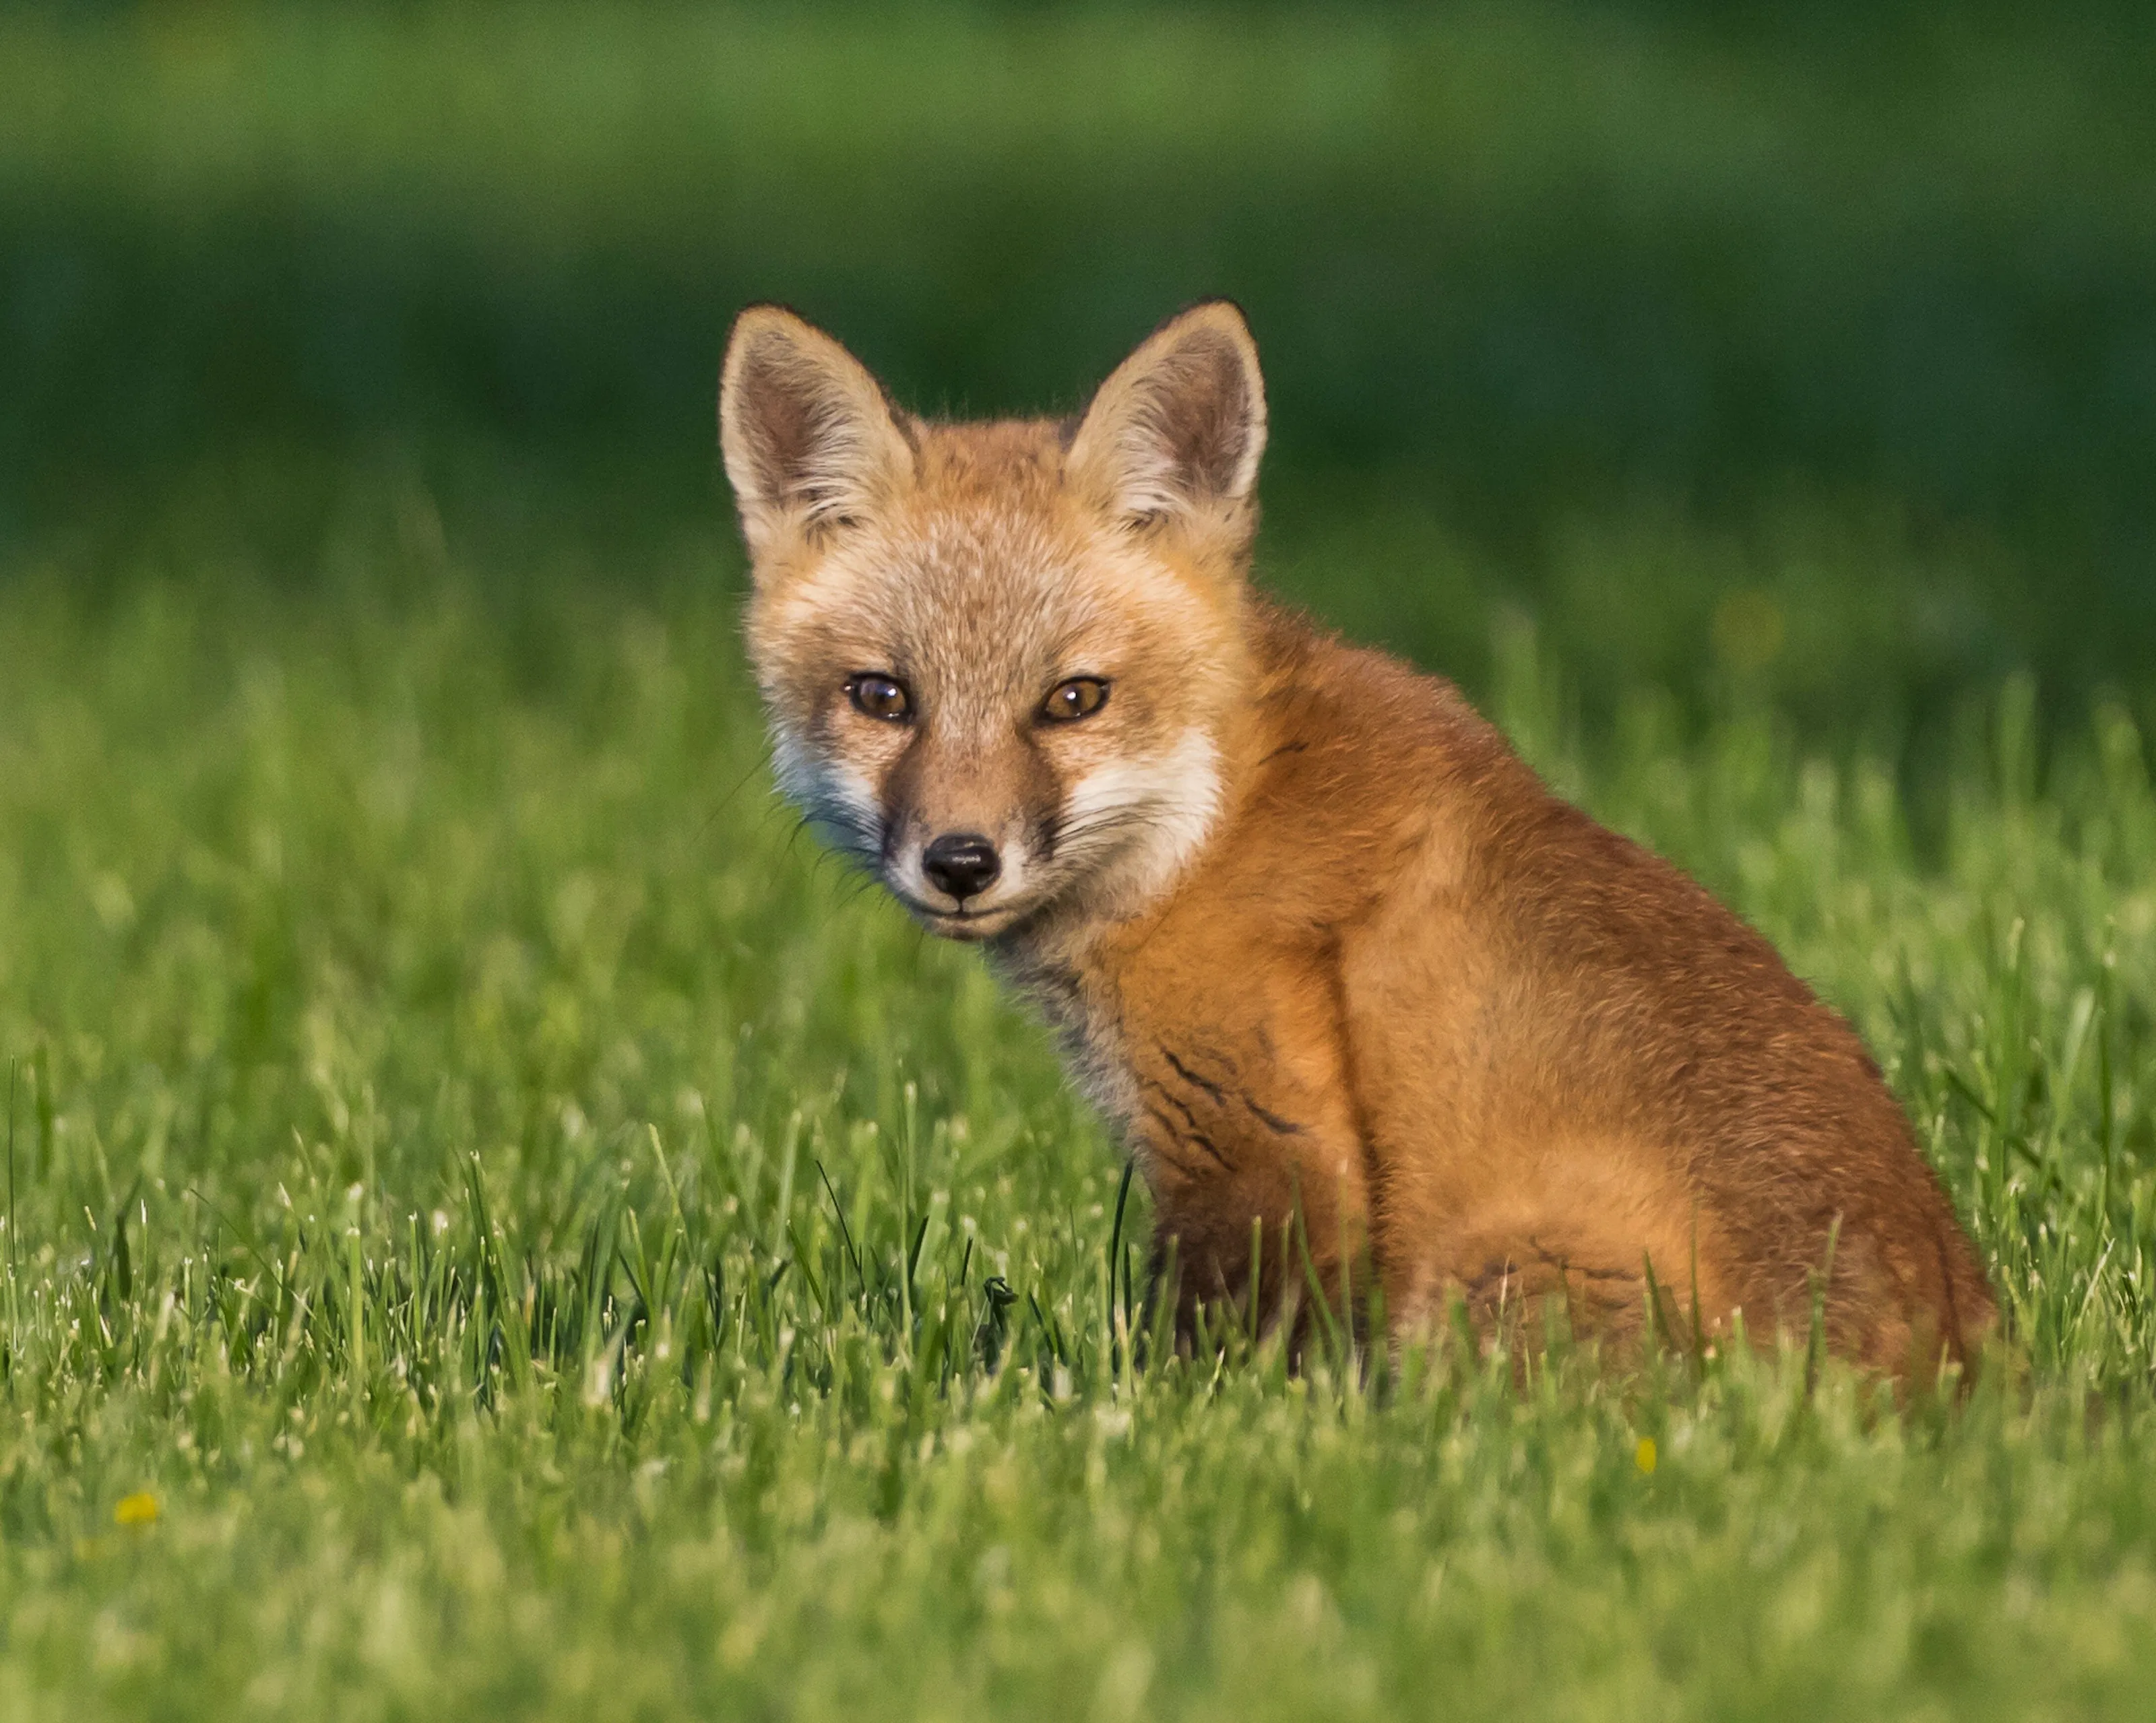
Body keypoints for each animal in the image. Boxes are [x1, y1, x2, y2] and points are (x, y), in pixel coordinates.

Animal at [718, 298, 1996, 1380]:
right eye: (884, 698)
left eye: (1074, 700)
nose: (961, 860)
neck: (1212, 818)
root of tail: (1962, 1388)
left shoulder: (1261, 1131)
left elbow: (1224, 1358)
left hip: (1489, 1273)